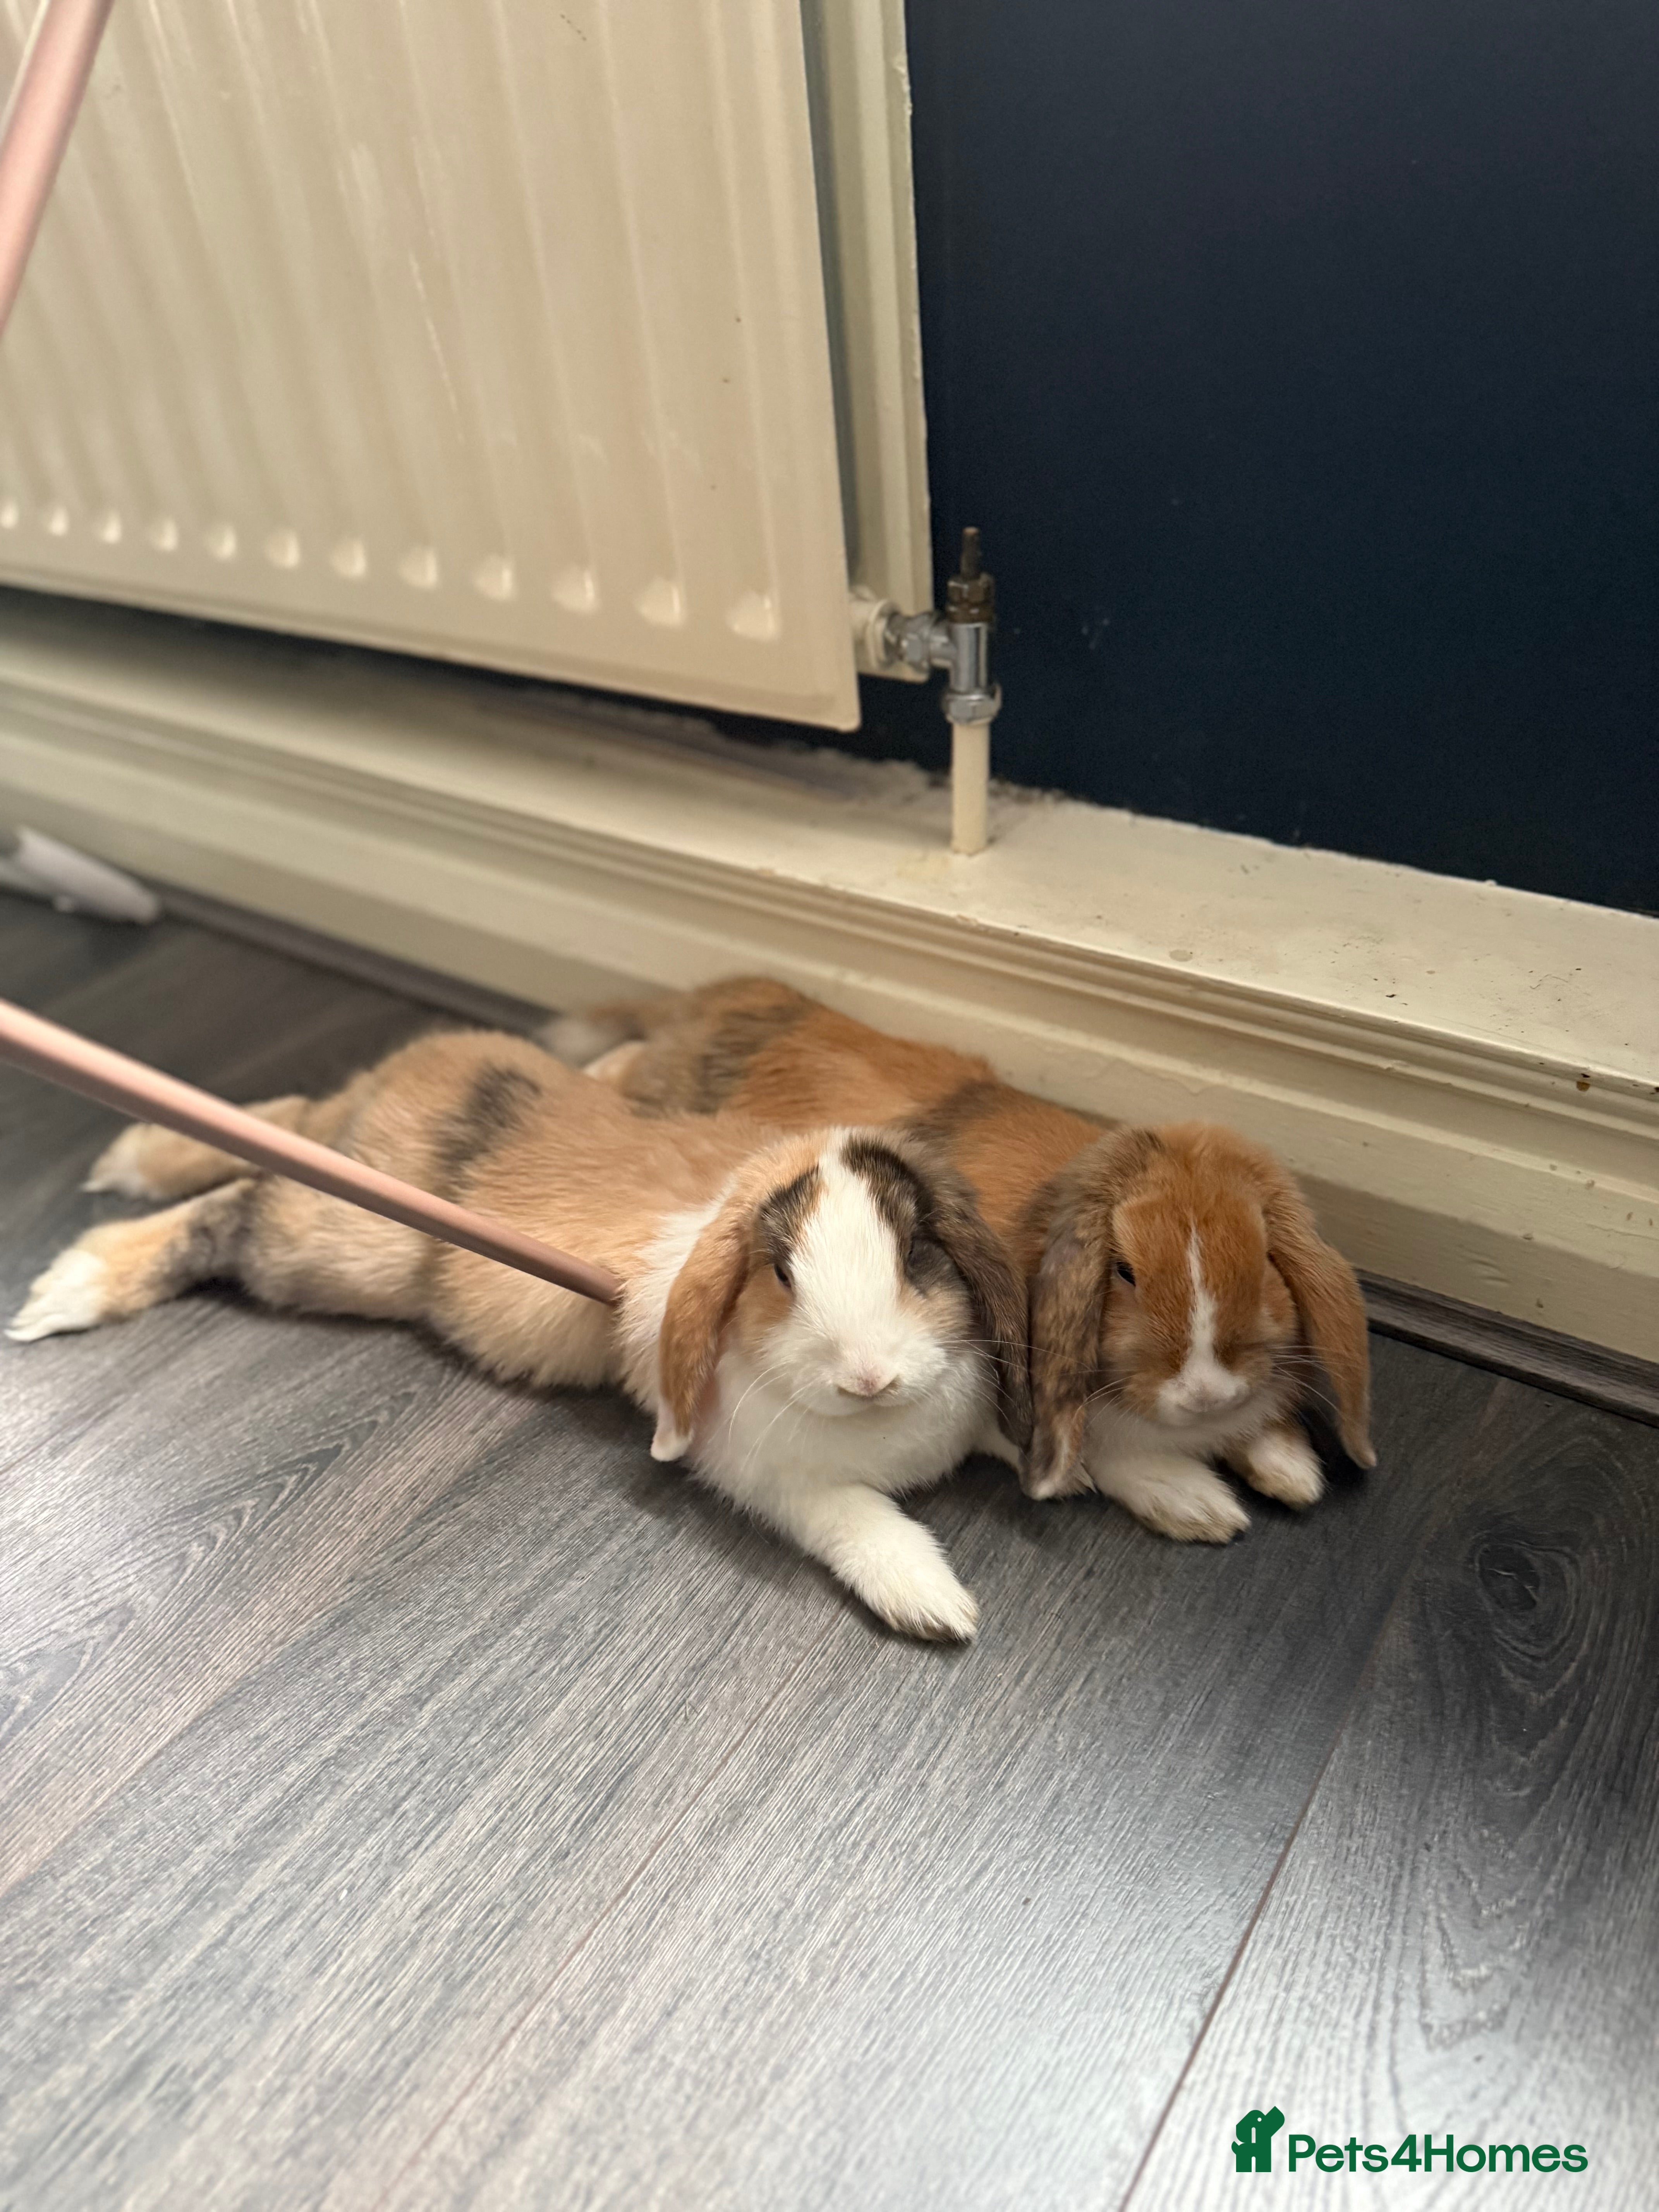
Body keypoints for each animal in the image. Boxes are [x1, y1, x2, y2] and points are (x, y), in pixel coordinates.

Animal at [9, 1029, 1030, 1641]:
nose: (870, 1377)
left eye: (920, 1254)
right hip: (334, 1246)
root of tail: (425, 1065)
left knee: (280, 1125)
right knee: (230, 1210)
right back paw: (75, 1282)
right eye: (781, 1275)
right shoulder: (766, 1474)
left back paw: (135, 1157)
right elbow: (856, 1520)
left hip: (332, 1167)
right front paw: (939, 1607)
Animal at [539, 978, 1375, 1543]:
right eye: (1126, 1271)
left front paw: (1289, 1470)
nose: (1208, 1393)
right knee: (625, 1064)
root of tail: (722, 995)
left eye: (1263, 1257)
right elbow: (1092, 1445)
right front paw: (1200, 1505)